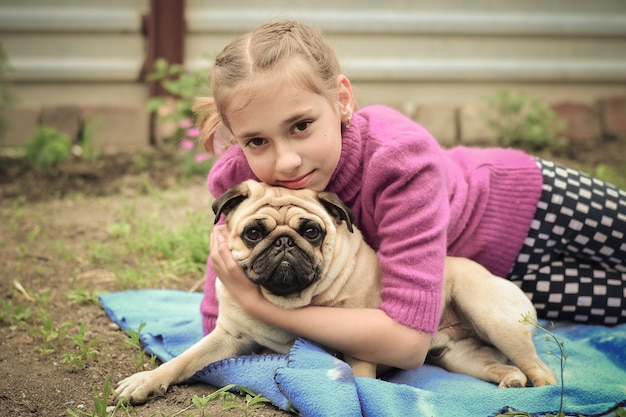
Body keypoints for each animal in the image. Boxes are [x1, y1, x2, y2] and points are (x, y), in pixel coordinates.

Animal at [114, 180, 552, 404]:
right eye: (253, 232)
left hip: (490, 314)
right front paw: (146, 381)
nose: (284, 242)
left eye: (311, 231)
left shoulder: (362, 350)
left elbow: (358, 382)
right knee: (499, 365)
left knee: (540, 369)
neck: (291, 301)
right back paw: (510, 381)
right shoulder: (227, 337)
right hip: (461, 356)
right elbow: (183, 361)